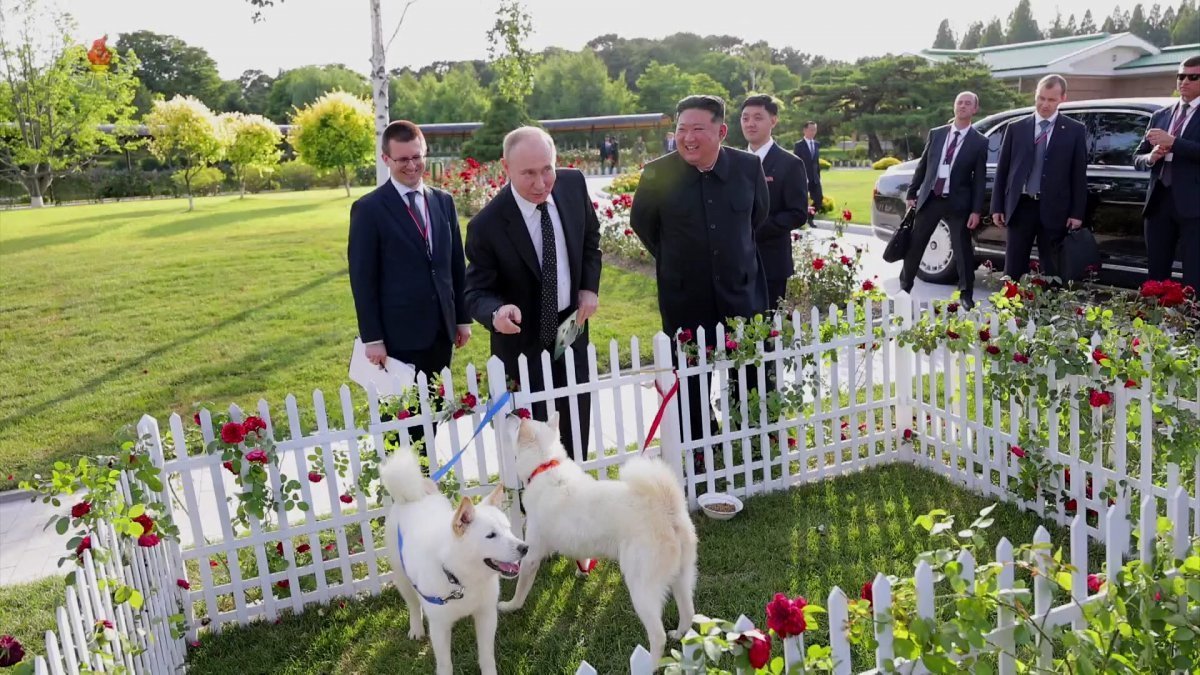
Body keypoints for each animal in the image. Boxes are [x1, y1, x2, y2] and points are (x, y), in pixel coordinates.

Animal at [381, 446, 528, 672]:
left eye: (509, 529)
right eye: (491, 535)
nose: (525, 548)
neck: (462, 580)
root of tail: (411, 498)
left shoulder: (487, 615)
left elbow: (486, 656)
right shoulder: (439, 627)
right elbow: (445, 664)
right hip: (402, 578)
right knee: (413, 605)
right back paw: (416, 628)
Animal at [501, 410, 700, 662]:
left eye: (518, 424)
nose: (509, 412)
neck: (545, 466)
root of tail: (665, 507)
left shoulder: (531, 554)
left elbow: (521, 589)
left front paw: (510, 606)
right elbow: (581, 557)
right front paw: (582, 571)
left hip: (641, 589)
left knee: (658, 635)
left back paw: (650, 663)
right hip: (682, 577)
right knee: (689, 611)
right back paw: (680, 634)